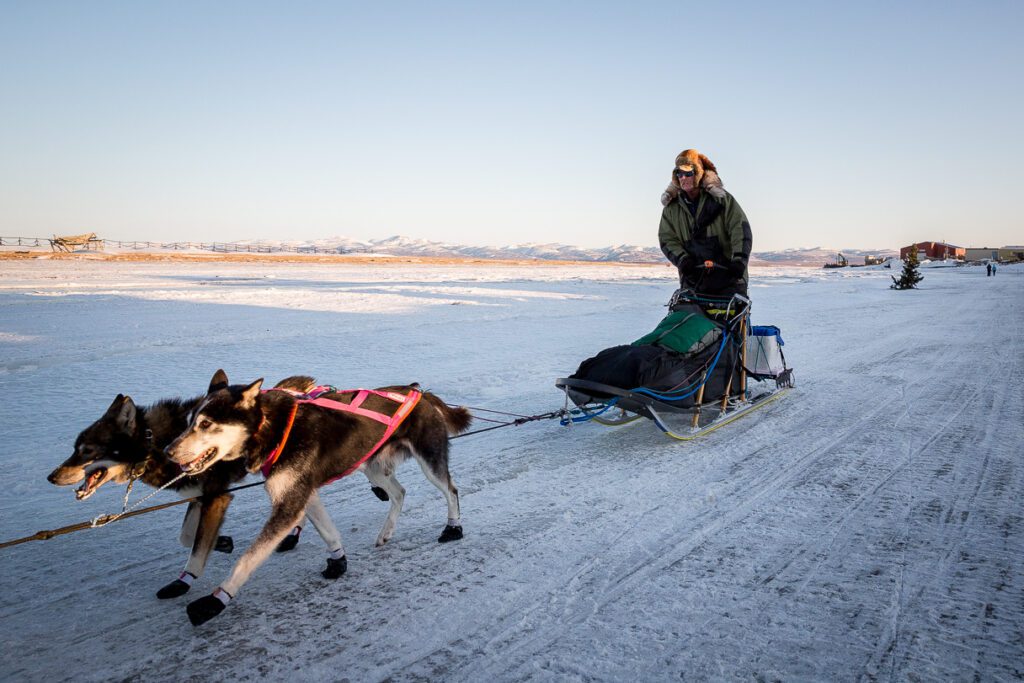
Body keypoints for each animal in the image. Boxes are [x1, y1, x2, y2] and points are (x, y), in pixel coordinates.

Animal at [46, 374, 350, 598]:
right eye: (74, 448)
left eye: (87, 451)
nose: (51, 477)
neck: (156, 444)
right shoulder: (196, 497)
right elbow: (187, 537)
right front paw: (222, 542)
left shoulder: (217, 497)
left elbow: (196, 548)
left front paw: (184, 581)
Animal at [165, 370, 473, 626]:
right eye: (189, 422)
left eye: (206, 423)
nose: (168, 451)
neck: (273, 428)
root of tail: (420, 393)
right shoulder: (302, 493)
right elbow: (328, 531)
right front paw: (338, 561)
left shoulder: (290, 502)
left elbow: (247, 559)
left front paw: (215, 600)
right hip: (372, 467)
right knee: (399, 492)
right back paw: (386, 533)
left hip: (428, 461)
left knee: (451, 490)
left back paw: (453, 528)